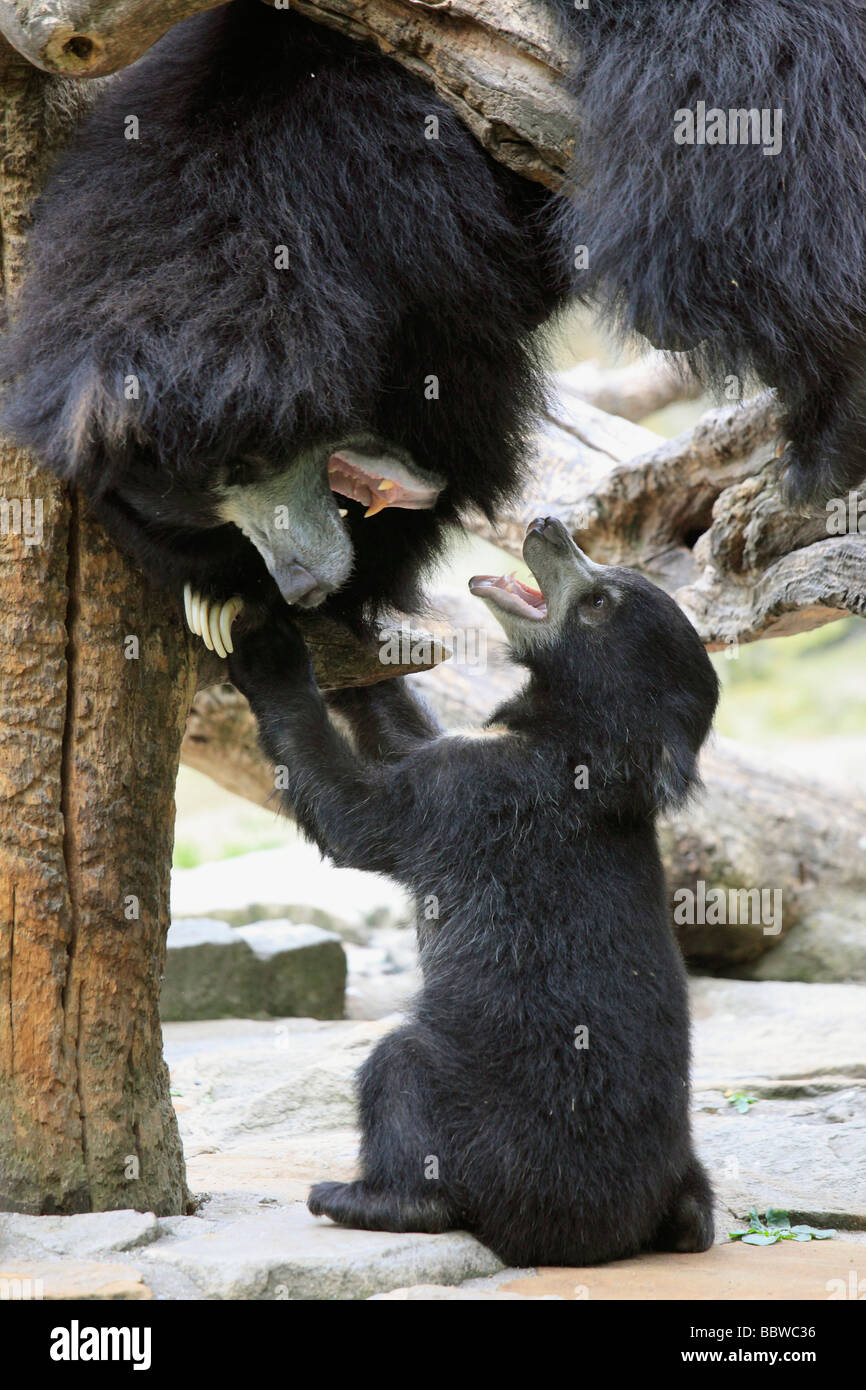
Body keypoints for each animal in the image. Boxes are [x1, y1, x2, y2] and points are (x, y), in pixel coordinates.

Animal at [226, 515, 720, 1266]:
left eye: (598, 601)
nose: (546, 523)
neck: (583, 739)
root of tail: (615, 1226)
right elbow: (408, 737)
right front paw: (349, 627)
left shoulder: (478, 794)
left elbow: (359, 812)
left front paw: (269, 648)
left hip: (482, 1110)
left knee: (401, 1080)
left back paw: (358, 1197)